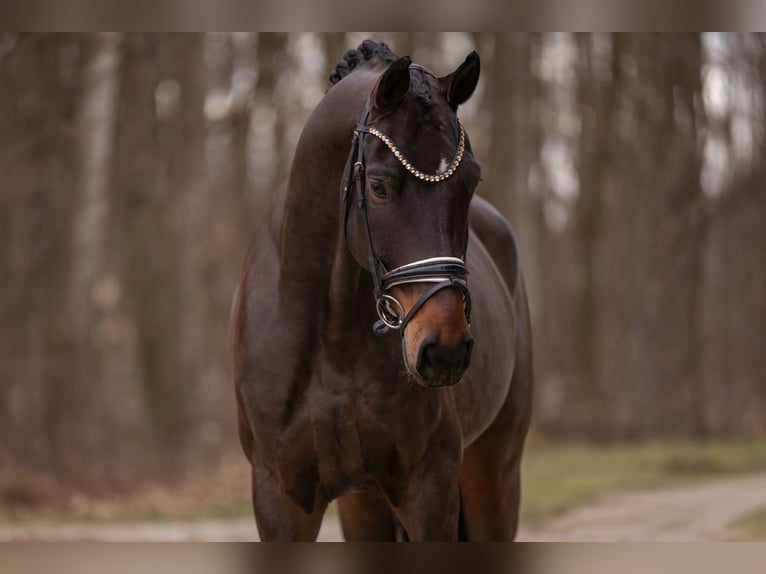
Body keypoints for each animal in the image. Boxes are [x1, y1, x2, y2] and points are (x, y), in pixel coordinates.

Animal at [232, 39, 533, 541]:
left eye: (471, 181)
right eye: (378, 185)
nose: (445, 350)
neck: (329, 339)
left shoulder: (429, 488)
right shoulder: (279, 496)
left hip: (494, 472)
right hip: (364, 503)